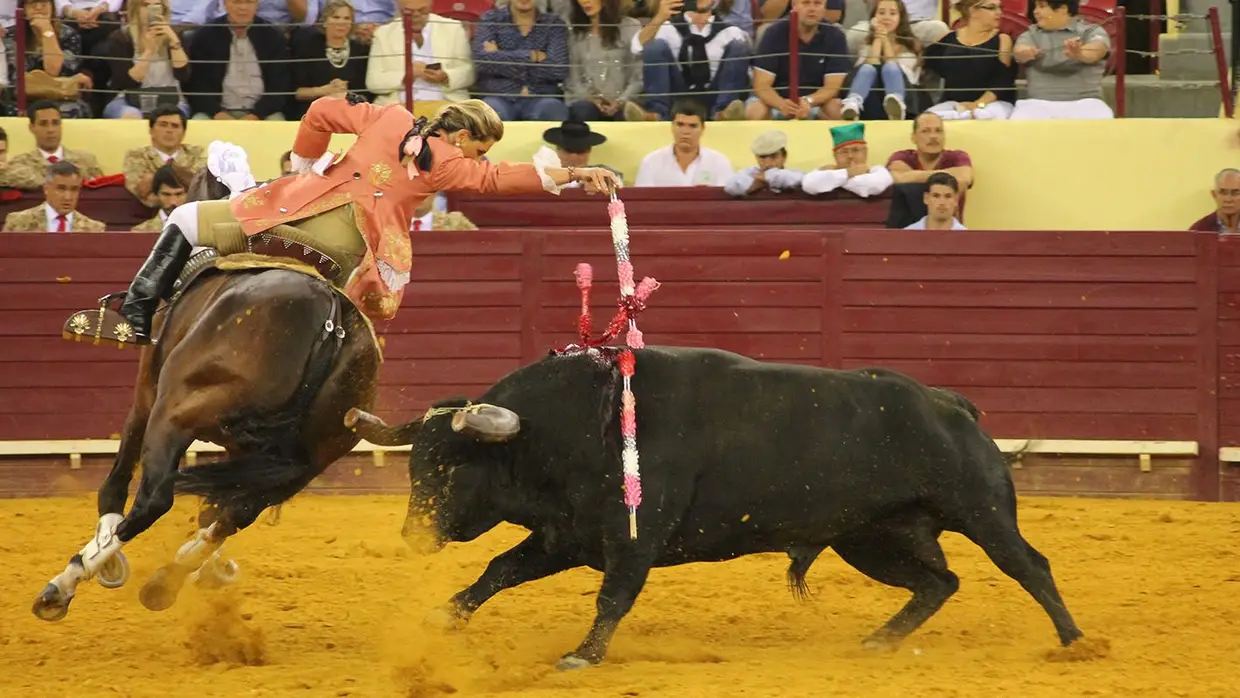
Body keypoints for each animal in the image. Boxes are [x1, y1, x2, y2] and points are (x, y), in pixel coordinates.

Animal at [35, 169, 381, 622]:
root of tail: (330, 321)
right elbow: (213, 509)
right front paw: (211, 569)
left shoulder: (146, 394)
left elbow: (118, 478)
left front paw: (106, 557)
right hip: (305, 463)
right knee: (235, 514)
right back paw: (164, 583)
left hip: (174, 415)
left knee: (155, 499)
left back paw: (65, 584)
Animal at [352, 347, 1086, 669]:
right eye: (415, 464)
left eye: (450, 466)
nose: (413, 536)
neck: (577, 424)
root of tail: (948, 403)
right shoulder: (567, 535)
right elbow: (499, 570)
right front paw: (442, 617)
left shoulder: (633, 540)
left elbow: (613, 597)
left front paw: (583, 655)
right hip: (872, 537)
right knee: (939, 582)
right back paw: (880, 640)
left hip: (981, 511)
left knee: (1031, 567)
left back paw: (1075, 642)